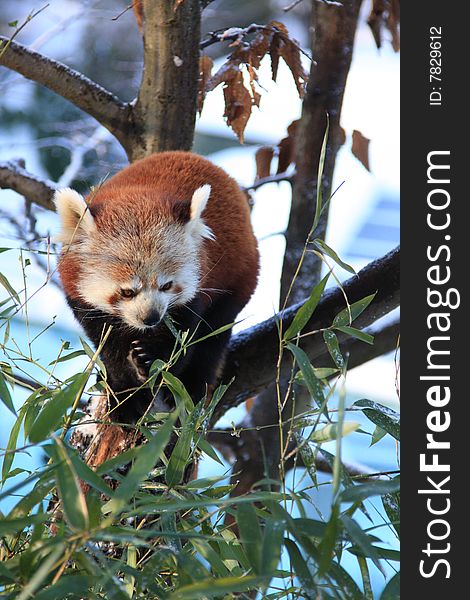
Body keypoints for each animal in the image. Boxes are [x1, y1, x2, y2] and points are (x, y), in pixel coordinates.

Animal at [56, 151, 260, 422]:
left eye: (167, 285)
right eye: (127, 291)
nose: (150, 318)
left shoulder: (197, 289)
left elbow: (184, 340)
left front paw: (152, 361)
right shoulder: (81, 299)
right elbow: (108, 348)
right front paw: (124, 396)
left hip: (238, 276)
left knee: (213, 337)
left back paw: (193, 386)